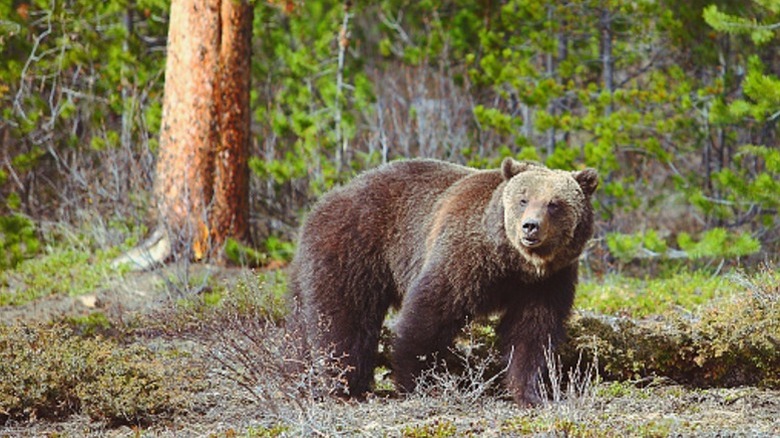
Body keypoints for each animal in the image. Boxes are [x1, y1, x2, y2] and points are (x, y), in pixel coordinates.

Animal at [290, 157, 600, 404]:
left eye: (554, 204)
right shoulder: (464, 257)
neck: (514, 262)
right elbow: (430, 313)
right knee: (344, 319)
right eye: (523, 199)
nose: (530, 227)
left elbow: (532, 333)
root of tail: (326, 199)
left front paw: (531, 392)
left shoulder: (548, 281)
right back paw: (346, 385)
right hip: (354, 248)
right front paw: (418, 380)